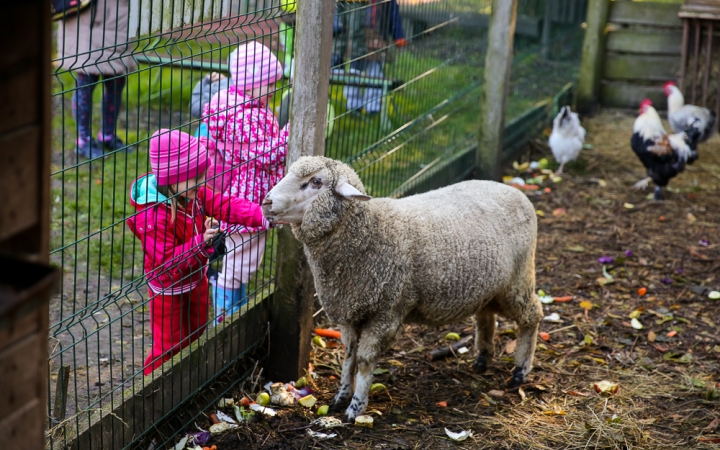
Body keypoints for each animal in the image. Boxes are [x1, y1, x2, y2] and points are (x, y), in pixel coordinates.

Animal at [262, 156, 540, 422]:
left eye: (316, 182)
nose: (266, 202)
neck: (370, 231)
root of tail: (512, 189)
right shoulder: (349, 311)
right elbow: (349, 356)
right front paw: (340, 397)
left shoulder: (386, 312)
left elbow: (365, 361)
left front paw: (356, 408)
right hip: (488, 285)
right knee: (485, 315)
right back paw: (483, 358)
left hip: (518, 280)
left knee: (532, 315)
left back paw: (520, 371)